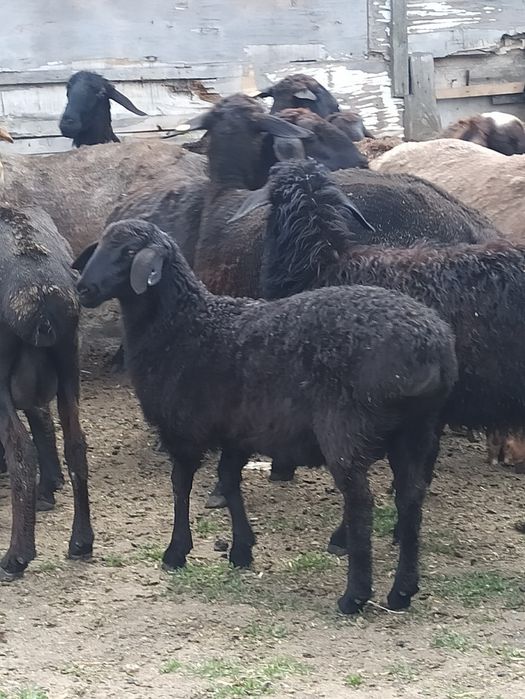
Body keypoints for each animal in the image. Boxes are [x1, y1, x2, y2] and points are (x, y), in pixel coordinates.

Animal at [74, 218, 457, 613]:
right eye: (102, 245)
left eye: (129, 252)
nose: (83, 288)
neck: (184, 326)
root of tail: (431, 346)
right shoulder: (237, 431)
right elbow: (229, 482)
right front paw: (242, 549)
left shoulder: (184, 430)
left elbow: (181, 486)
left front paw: (176, 552)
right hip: (416, 432)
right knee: (410, 499)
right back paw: (402, 591)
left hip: (347, 430)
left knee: (361, 504)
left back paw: (355, 595)